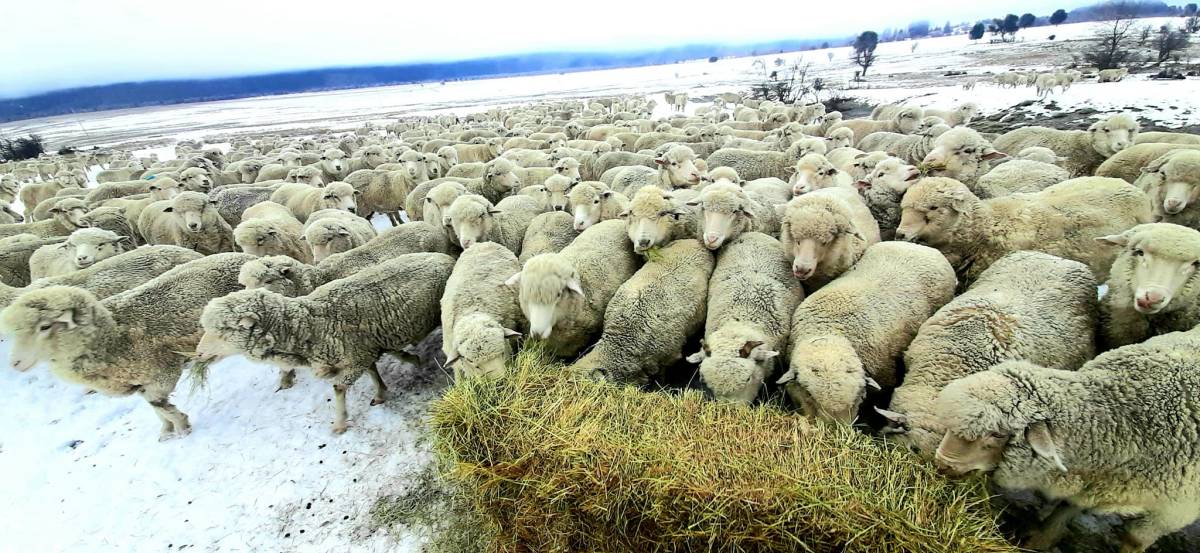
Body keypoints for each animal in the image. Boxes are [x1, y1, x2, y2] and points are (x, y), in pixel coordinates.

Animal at [1, 253, 255, 439]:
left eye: (44, 327)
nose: (15, 363)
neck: (111, 336)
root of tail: (243, 256)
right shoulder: (140, 381)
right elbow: (155, 408)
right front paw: (167, 430)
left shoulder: (160, 375)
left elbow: (159, 405)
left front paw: (182, 427)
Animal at [197, 253, 454, 434]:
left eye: (223, 331)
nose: (197, 354)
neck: (308, 323)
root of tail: (444, 257)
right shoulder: (360, 351)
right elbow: (373, 370)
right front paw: (383, 389)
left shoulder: (355, 359)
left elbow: (338, 388)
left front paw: (339, 424)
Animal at [932, 333, 1200, 552]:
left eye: (997, 434)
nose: (942, 464)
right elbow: (1065, 506)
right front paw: (1040, 539)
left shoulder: (1174, 511)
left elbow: (1133, 541)